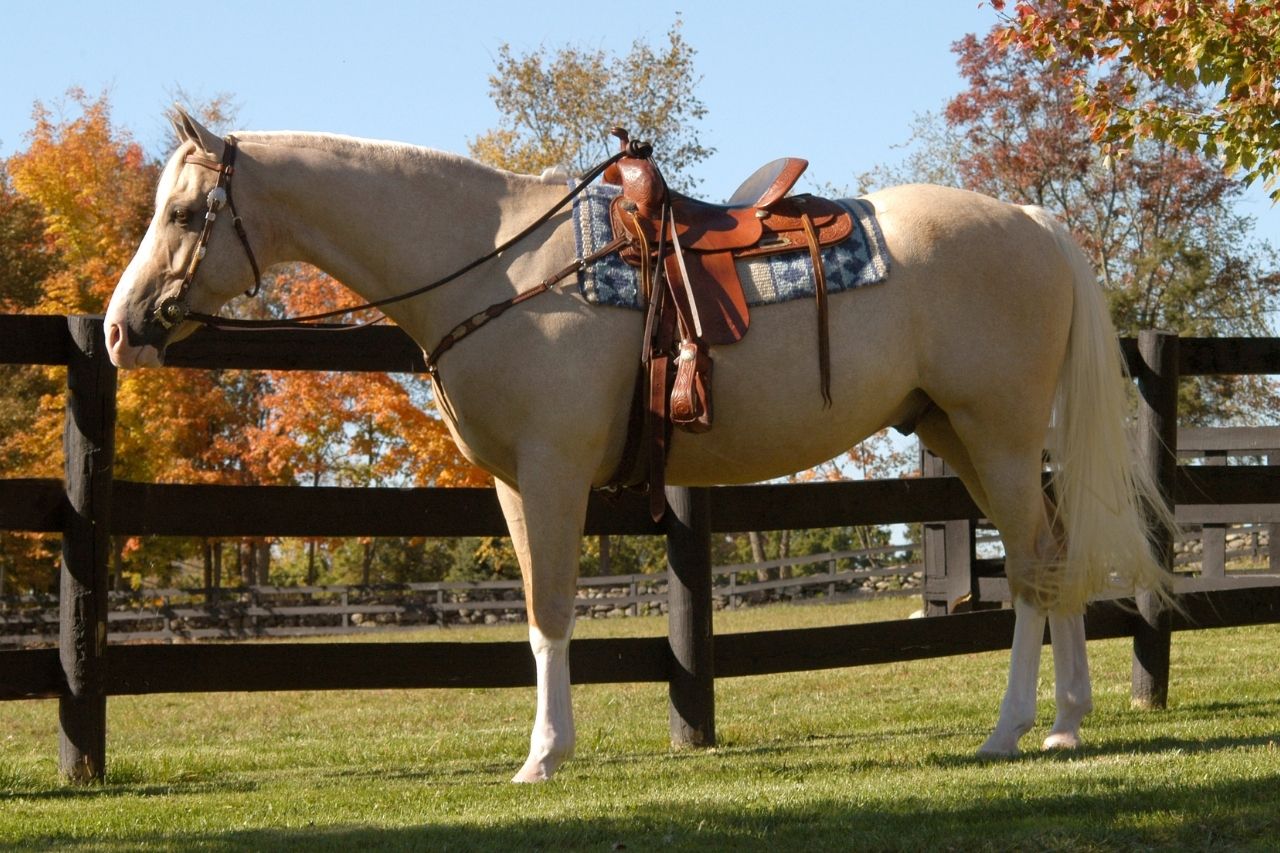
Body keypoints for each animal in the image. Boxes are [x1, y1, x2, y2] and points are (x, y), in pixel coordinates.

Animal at [105, 109, 1171, 783]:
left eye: (186, 213)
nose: (120, 329)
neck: (498, 264)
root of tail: (1031, 219)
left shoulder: (552, 472)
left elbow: (550, 610)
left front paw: (544, 755)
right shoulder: (512, 484)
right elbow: (539, 616)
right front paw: (547, 747)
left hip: (997, 435)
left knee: (1033, 568)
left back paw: (1015, 729)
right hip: (962, 434)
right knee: (1052, 557)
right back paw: (1066, 723)